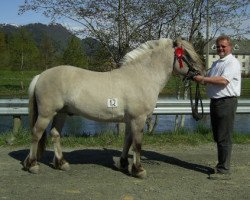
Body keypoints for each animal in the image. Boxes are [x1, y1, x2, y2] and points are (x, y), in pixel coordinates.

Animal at [22, 38, 204, 178]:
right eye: (187, 55)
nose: (200, 73)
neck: (142, 76)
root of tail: (41, 76)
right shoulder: (138, 118)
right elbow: (137, 144)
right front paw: (138, 170)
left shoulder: (130, 120)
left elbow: (128, 140)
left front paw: (123, 164)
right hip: (46, 114)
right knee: (36, 134)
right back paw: (32, 165)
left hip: (61, 113)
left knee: (55, 134)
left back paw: (61, 163)